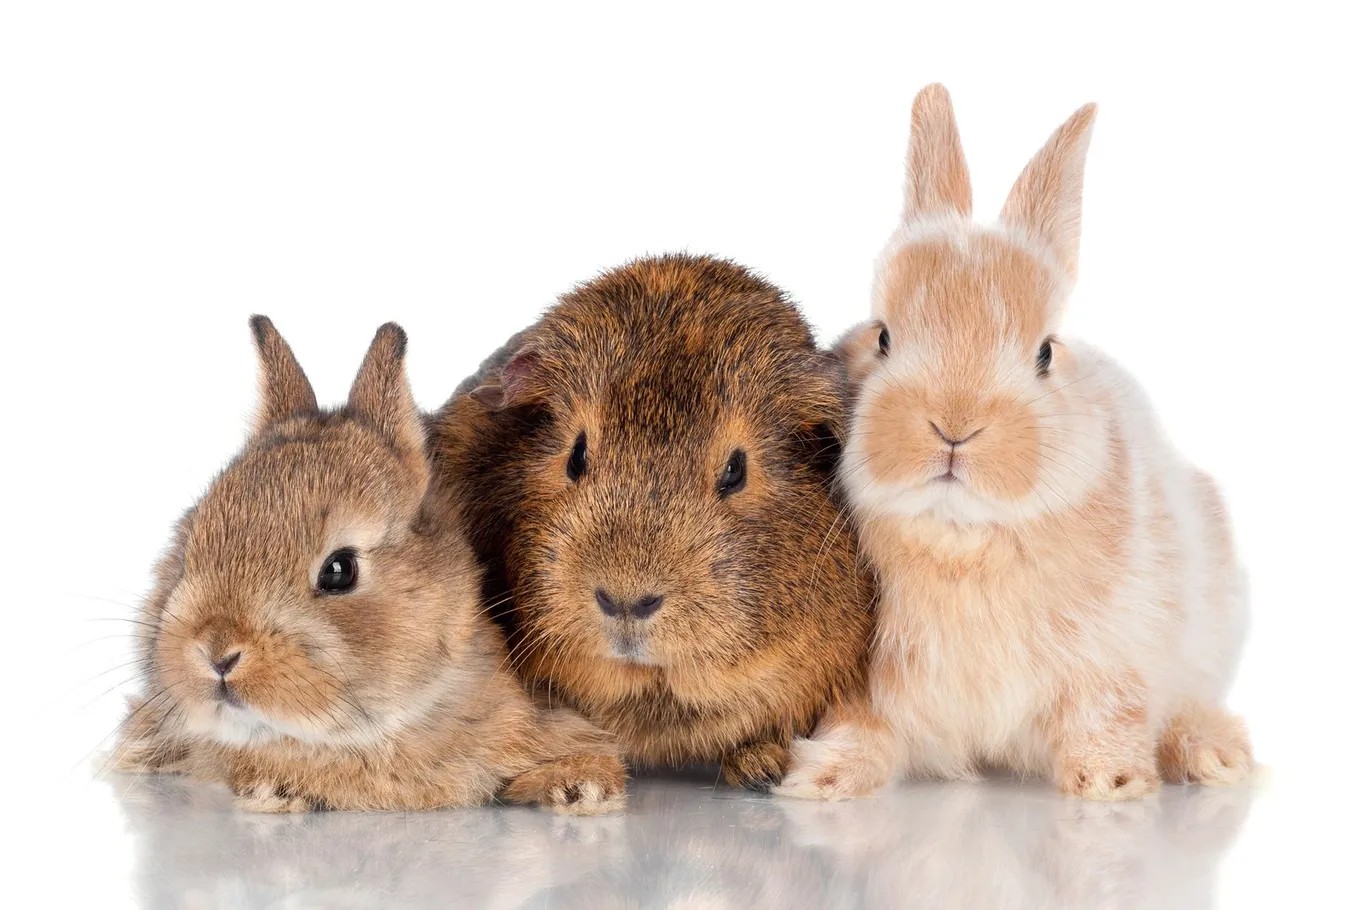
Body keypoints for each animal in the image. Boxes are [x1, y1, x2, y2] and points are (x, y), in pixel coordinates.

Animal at [783, 81, 1254, 800]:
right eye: (882, 336)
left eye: (1045, 353)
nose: (954, 426)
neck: (963, 542)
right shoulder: (863, 683)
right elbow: (861, 727)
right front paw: (824, 779)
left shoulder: (1115, 653)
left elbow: (1108, 713)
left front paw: (1112, 782)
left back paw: (1212, 754)